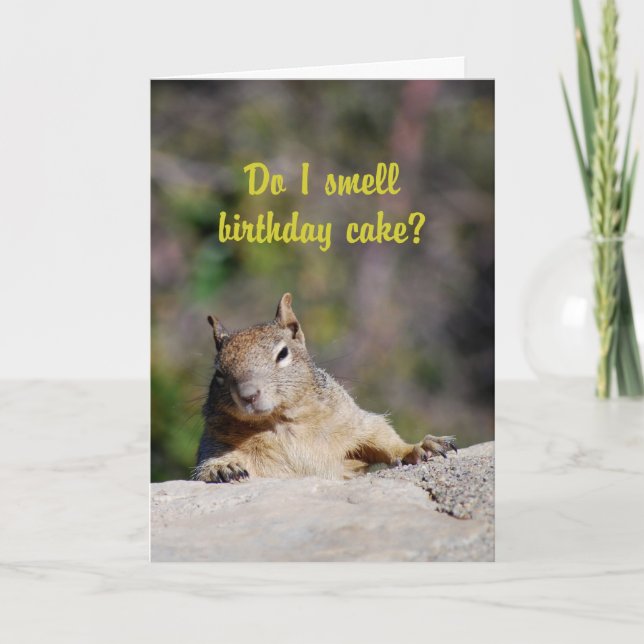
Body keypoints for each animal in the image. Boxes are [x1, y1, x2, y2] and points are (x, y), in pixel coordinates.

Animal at [193, 293, 457, 483]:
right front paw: (221, 468)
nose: (248, 395)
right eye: (219, 373)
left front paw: (419, 447)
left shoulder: (353, 422)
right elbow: (205, 466)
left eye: (283, 353)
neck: (280, 423)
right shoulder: (215, 442)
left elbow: (381, 436)